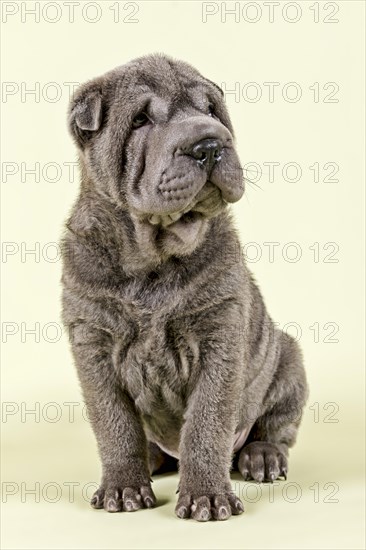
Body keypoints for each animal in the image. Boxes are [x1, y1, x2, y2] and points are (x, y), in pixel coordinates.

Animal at [61, 54, 308, 524]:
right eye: (140, 119)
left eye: (211, 110)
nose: (209, 144)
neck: (152, 259)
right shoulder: (92, 344)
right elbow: (114, 423)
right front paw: (123, 487)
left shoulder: (220, 335)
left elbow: (206, 425)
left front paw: (206, 497)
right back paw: (152, 460)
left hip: (288, 359)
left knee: (275, 426)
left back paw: (261, 457)